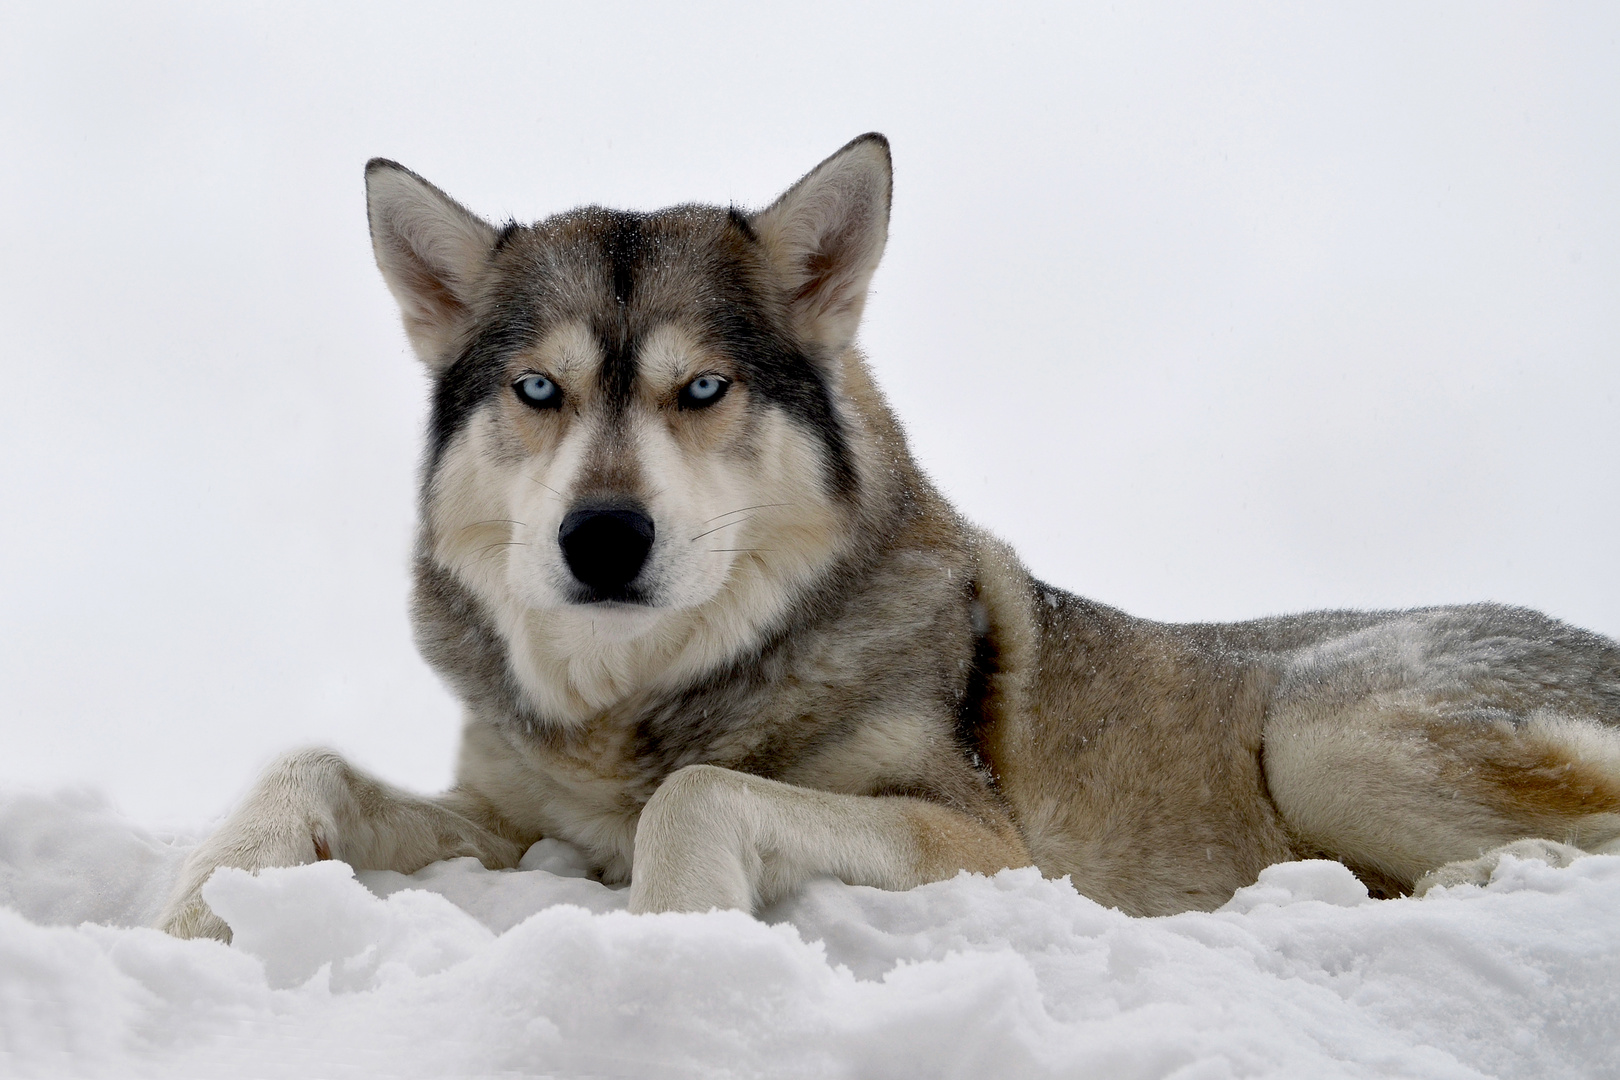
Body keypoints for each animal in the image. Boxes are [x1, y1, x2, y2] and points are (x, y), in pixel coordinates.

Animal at [161, 137, 1620, 945]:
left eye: (703, 388)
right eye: (539, 390)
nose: (603, 537)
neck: (645, 707)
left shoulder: (984, 845)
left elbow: (700, 798)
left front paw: (668, 950)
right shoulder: (513, 816)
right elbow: (307, 762)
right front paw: (201, 906)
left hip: (1323, 735)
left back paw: (1494, 877)